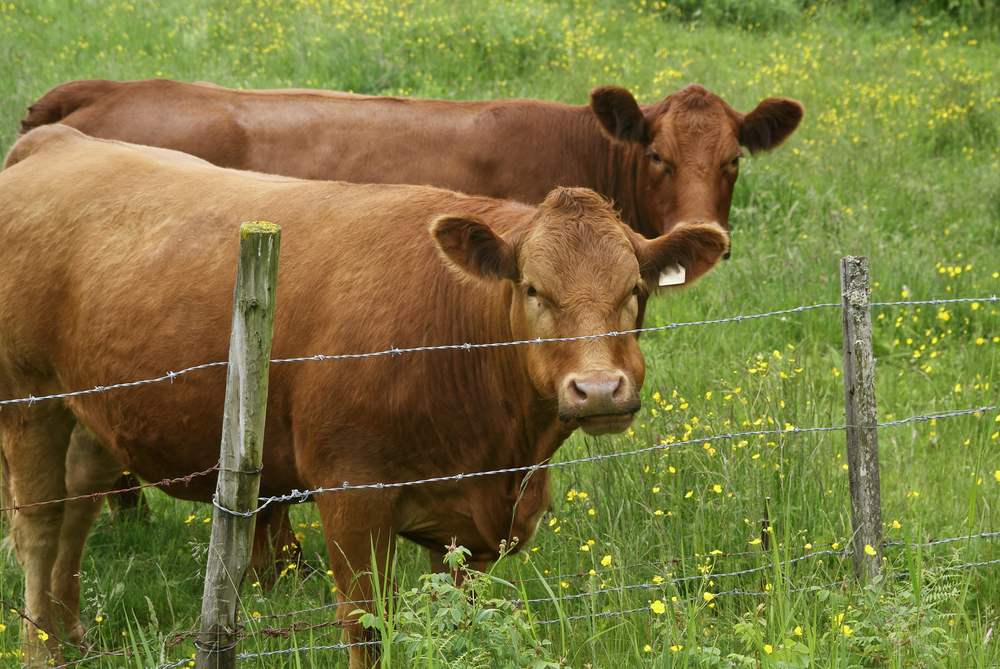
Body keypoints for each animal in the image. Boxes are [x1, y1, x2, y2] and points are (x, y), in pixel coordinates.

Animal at [0, 126, 729, 668]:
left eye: (635, 289)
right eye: (532, 288)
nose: (599, 388)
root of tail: (57, 140)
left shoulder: (470, 530)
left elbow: (459, 627)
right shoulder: (352, 497)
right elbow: (369, 628)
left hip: (94, 408)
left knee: (77, 507)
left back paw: (72, 638)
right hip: (28, 398)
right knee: (37, 526)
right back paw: (40, 649)